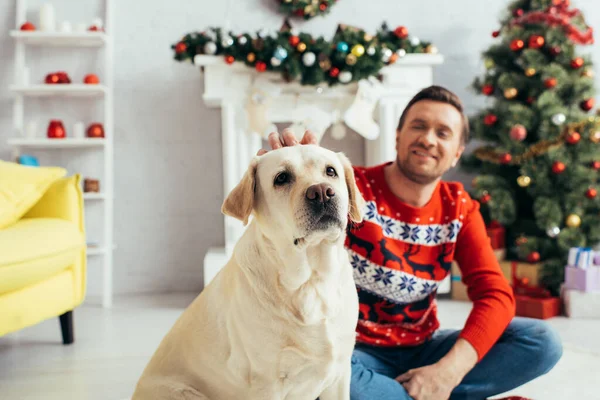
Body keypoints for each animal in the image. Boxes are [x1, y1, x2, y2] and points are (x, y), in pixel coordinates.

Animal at [133, 145, 364, 400]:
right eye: (281, 178)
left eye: (330, 171)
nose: (322, 192)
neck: (311, 281)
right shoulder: (267, 384)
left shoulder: (339, 374)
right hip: (185, 393)